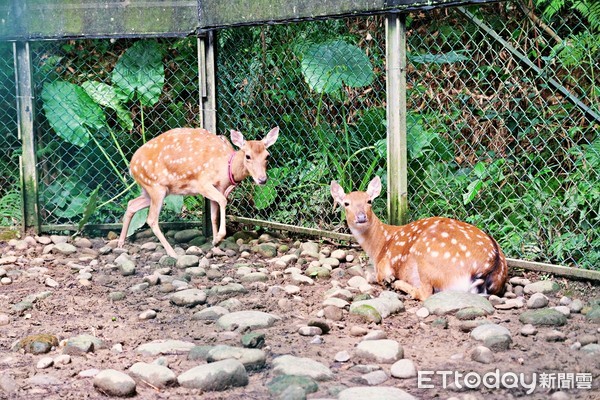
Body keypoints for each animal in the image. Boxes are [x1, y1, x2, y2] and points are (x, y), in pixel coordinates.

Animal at [118, 126, 280, 256]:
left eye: (267, 156)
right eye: (248, 156)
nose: (262, 179)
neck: (226, 167)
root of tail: (131, 167)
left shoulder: (219, 187)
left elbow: (214, 216)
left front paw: (216, 244)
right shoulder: (203, 184)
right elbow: (223, 201)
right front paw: (219, 237)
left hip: (150, 190)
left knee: (131, 204)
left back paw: (121, 243)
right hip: (156, 187)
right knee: (151, 219)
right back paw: (172, 252)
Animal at [330, 176, 508, 300]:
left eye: (369, 201)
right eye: (346, 203)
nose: (361, 217)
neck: (379, 245)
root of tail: (492, 265)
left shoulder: (384, 265)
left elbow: (377, 276)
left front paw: (389, 280)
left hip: (427, 256)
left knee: (425, 293)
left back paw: (399, 284)